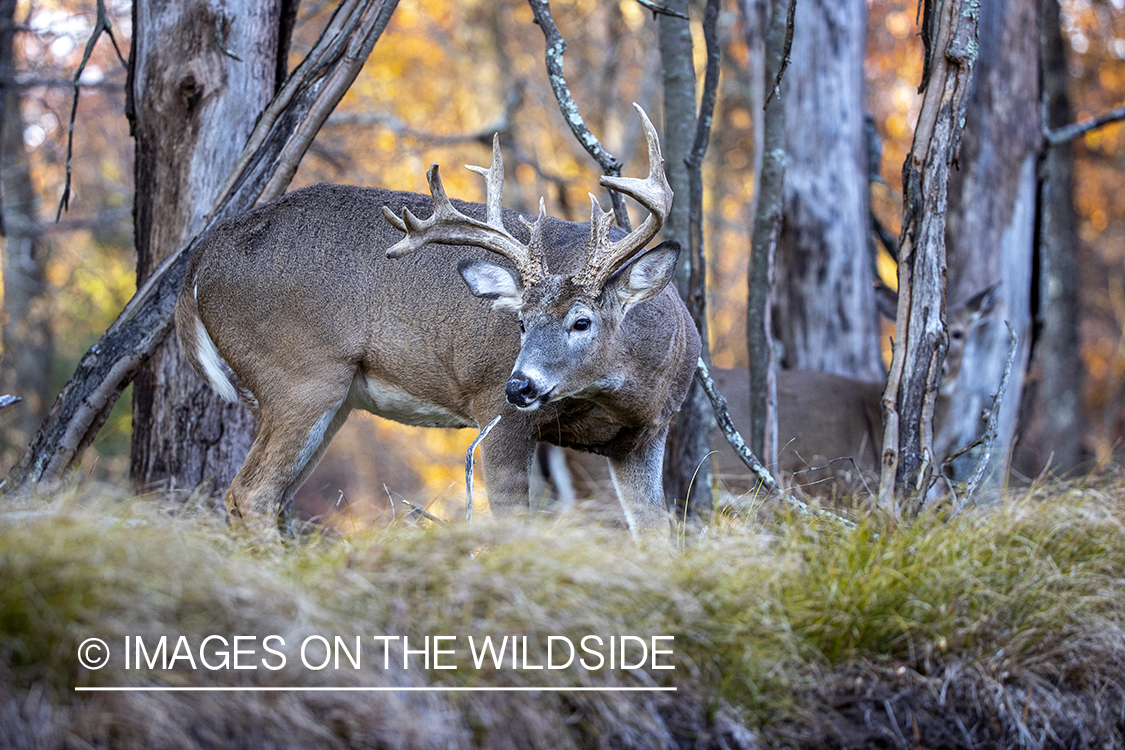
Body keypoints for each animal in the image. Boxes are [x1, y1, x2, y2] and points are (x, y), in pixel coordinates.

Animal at [175, 105, 697, 537]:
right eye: (521, 322)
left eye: (581, 322)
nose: (520, 385)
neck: (617, 397)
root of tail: (199, 258)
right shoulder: (496, 413)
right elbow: (513, 523)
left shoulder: (645, 438)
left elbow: (656, 532)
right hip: (300, 374)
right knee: (251, 492)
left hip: (333, 399)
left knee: (270, 495)